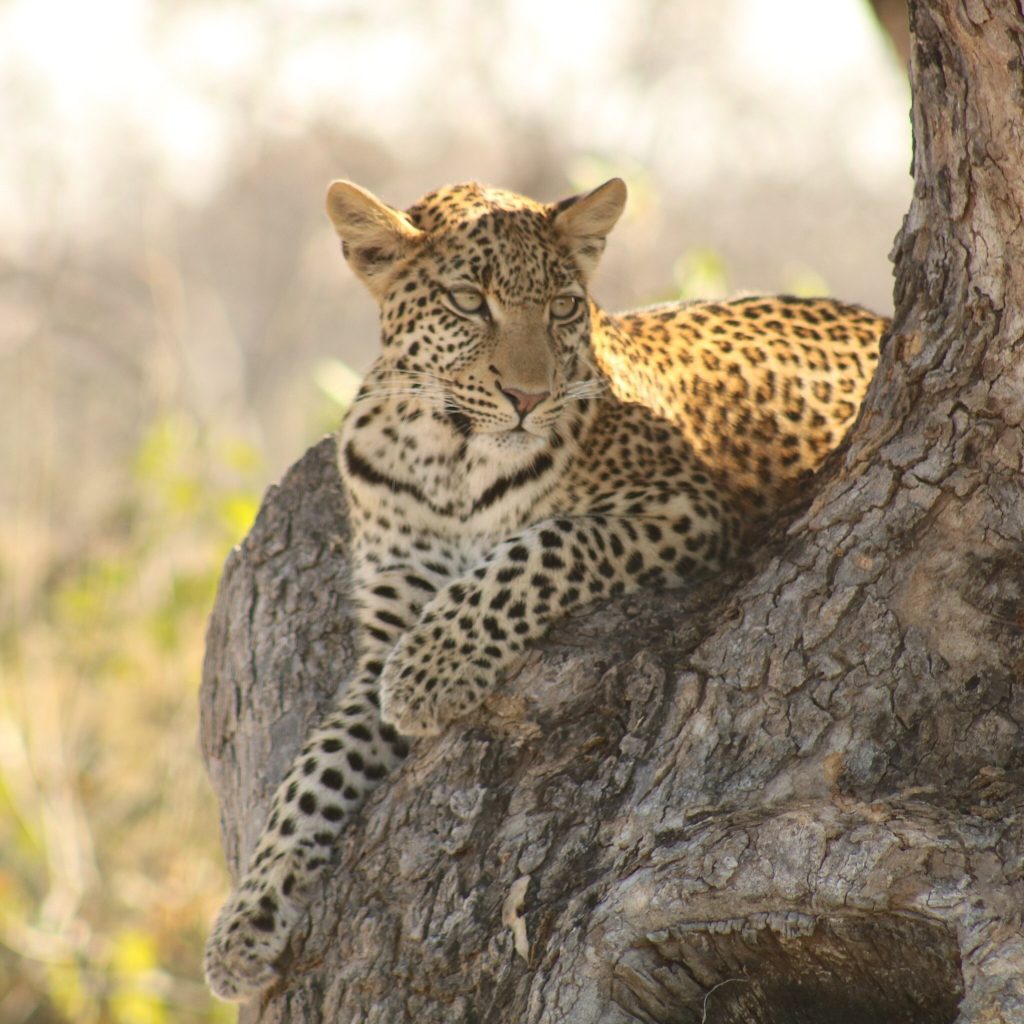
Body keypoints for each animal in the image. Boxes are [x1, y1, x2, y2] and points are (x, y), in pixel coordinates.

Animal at [204, 175, 885, 1001]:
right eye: (469, 302)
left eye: (562, 306)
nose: (528, 397)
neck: (447, 455)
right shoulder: (386, 623)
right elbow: (314, 771)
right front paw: (245, 922)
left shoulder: (683, 508)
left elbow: (532, 551)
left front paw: (431, 672)